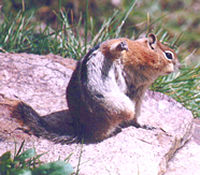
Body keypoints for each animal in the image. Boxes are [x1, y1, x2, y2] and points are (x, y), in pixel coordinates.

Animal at [13, 33, 180, 144]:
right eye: (169, 55)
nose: (179, 66)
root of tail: (84, 133)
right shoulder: (116, 46)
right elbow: (112, 48)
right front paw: (122, 46)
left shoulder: (139, 92)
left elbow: (138, 116)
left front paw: (146, 125)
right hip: (123, 105)